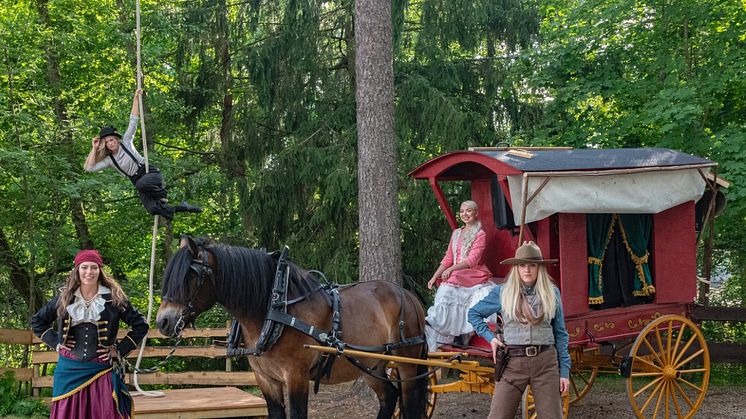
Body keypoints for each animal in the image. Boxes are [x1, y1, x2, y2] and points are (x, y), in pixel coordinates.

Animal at [154, 238, 428, 418]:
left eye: (190, 275)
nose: (162, 321)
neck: (273, 308)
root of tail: (407, 294)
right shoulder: (266, 379)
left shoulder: (296, 376)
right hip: (370, 365)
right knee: (389, 396)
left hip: (407, 362)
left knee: (410, 401)